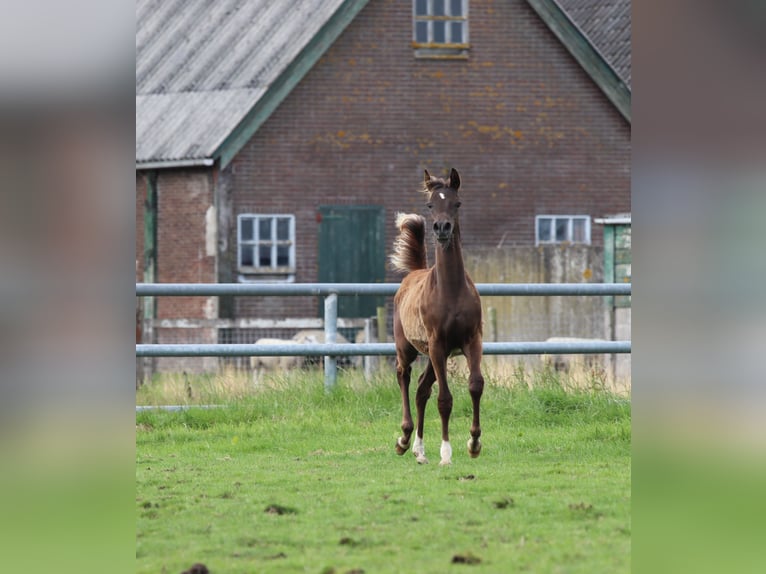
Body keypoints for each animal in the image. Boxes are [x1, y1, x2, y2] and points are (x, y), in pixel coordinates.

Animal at [390, 169, 486, 466]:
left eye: (457, 203)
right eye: (431, 204)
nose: (442, 228)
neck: (451, 291)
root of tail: (413, 273)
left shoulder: (471, 341)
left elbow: (476, 385)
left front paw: (474, 443)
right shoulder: (437, 344)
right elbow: (445, 399)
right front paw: (446, 453)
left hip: (434, 356)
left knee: (422, 390)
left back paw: (419, 451)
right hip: (409, 347)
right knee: (404, 376)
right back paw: (403, 439)